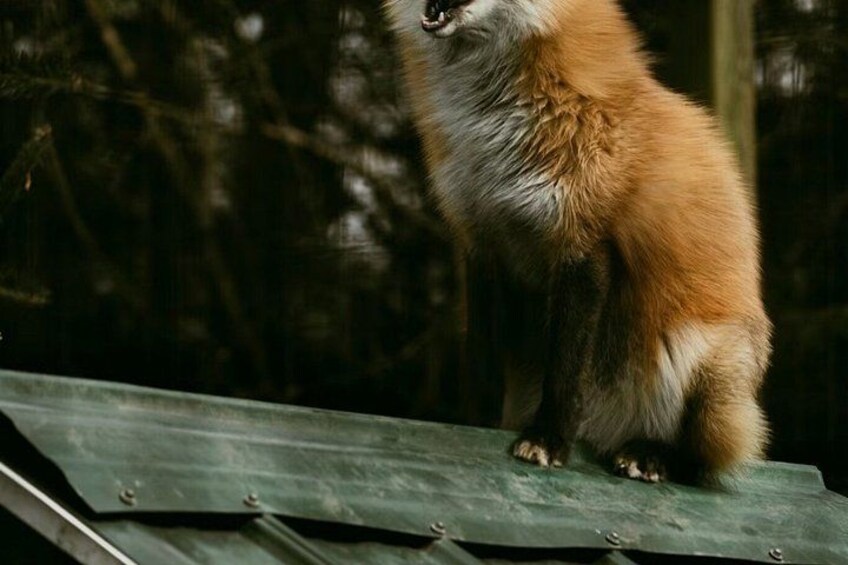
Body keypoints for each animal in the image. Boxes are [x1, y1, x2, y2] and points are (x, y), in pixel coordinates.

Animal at [383, 0, 772, 483]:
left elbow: (566, 368)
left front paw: (549, 439)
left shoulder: (584, 243)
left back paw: (651, 454)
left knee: (706, 461)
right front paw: (475, 427)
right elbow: (483, 362)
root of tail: (604, 432)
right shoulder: (481, 243)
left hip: (701, 362)